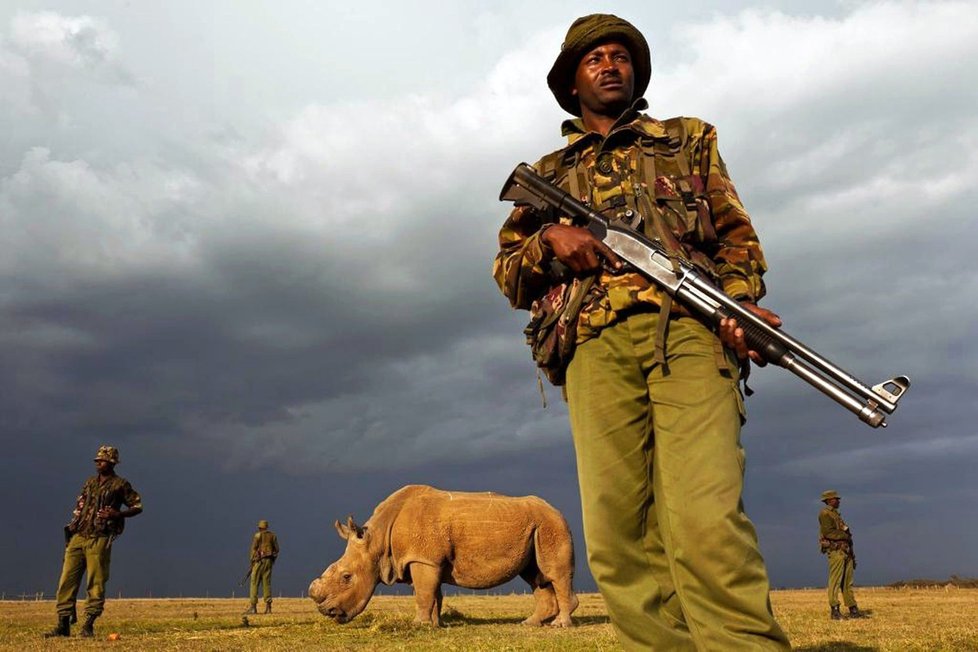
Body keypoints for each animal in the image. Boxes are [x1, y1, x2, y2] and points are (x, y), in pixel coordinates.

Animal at [308, 484, 576, 628]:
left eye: (346, 577)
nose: (328, 612)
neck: (378, 539)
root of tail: (557, 510)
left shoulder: (423, 558)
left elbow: (424, 593)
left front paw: (419, 625)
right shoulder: (428, 559)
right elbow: (433, 593)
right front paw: (436, 624)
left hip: (552, 525)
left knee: (554, 573)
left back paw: (559, 625)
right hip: (536, 526)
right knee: (535, 576)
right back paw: (530, 623)